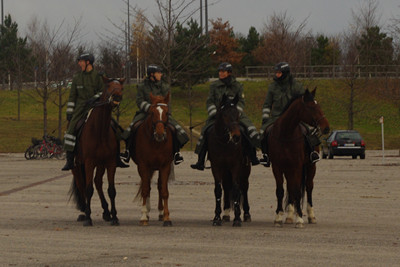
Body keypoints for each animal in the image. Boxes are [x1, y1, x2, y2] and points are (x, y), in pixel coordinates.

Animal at [69, 76, 124, 227]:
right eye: (108, 86)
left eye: (121, 87)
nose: (117, 96)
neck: (99, 131)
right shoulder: (89, 162)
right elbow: (88, 190)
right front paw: (88, 217)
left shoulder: (110, 162)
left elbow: (111, 190)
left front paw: (114, 216)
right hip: (77, 166)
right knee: (82, 185)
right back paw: (84, 211)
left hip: (100, 164)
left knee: (98, 182)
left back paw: (106, 211)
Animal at [130, 91, 173, 226]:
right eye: (152, 113)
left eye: (167, 113)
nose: (160, 134)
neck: (156, 143)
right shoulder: (143, 166)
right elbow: (145, 190)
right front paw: (144, 216)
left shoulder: (165, 166)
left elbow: (164, 191)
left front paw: (167, 217)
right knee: (147, 186)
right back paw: (147, 212)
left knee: (159, 186)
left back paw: (160, 212)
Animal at [206, 93, 250, 227]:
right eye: (224, 115)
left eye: (237, 114)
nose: (236, 136)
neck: (224, 143)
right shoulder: (216, 167)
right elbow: (218, 190)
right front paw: (216, 217)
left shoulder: (235, 166)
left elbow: (236, 190)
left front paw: (237, 218)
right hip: (225, 172)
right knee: (226, 187)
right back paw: (225, 213)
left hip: (245, 170)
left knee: (244, 188)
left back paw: (246, 214)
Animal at [268, 89, 330, 229]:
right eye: (312, 107)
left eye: (319, 105)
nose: (326, 127)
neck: (285, 134)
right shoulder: (277, 167)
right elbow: (280, 191)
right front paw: (278, 217)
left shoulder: (297, 166)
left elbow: (297, 190)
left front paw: (300, 218)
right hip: (289, 169)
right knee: (291, 188)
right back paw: (290, 216)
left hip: (310, 167)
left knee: (308, 187)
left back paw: (310, 215)